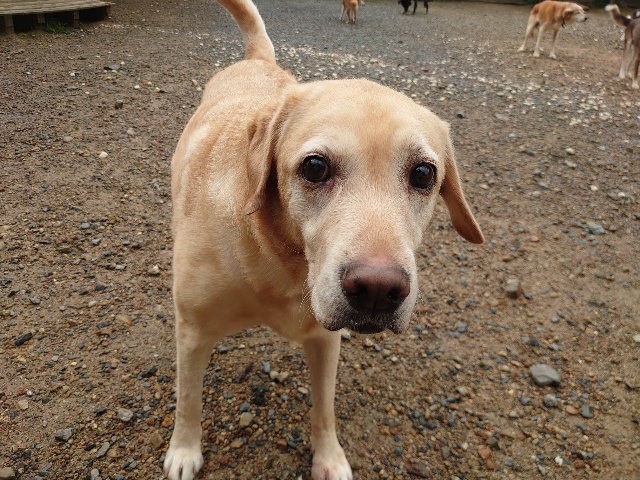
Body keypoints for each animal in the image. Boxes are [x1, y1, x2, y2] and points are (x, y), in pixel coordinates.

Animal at [163, 0, 484, 478]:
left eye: (424, 174)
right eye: (315, 167)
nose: (377, 291)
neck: (280, 263)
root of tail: (257, 61)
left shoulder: (324, 340)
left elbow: (324, 408)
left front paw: (329, 458)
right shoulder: (192, 332)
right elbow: (188, 400)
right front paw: (184, 451)